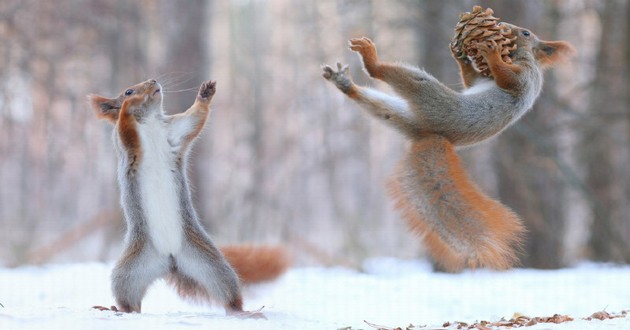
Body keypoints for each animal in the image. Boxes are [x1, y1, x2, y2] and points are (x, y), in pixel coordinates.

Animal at [87, 79, 288, 314]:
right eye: (127, 91)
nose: (153, 82)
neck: (150, 121)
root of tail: (170, 260)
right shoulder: (126, 144)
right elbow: (125, 128)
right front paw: (128, 106)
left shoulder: (175, 131)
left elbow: (195, 118)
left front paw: (205, 93)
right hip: (129, 271)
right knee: (130, 301)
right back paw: (116, 309)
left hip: (210, 264)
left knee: (228, 294)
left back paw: (245, 312)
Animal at [326, 23, 576, 270]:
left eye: (525, 33)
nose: (506, 27)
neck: (520, 56)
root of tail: (432, 135)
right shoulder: (482, 80)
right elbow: (471, 81)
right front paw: (461, 57)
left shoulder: (525, 77)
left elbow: (507, 79)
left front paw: (492, 54)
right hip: (401, 115)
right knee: (380, 107)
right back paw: (345, 84)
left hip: (431, 98)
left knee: (391, 76)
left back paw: (371, 60)